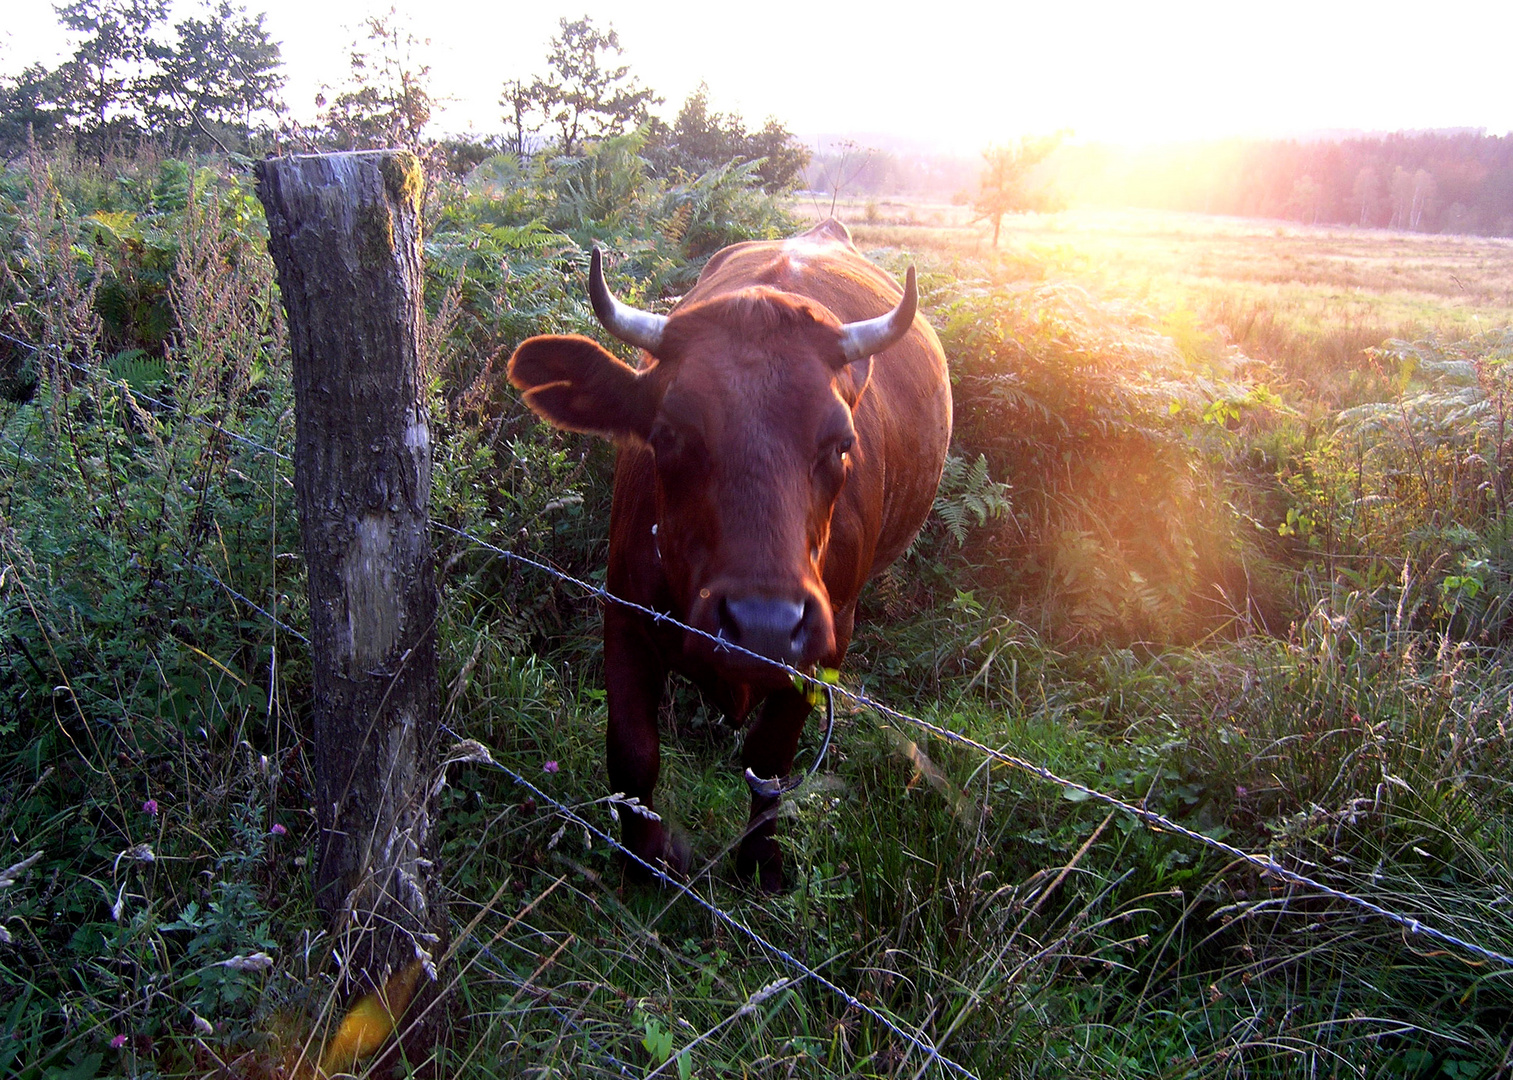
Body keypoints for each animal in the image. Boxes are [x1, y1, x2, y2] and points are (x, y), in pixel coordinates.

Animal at [514, 216, 950, 883]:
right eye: (668, 434)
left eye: (842, 442)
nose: (762, 626)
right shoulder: (622, 612)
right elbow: (632, 753)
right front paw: (644, 865)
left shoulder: (824, 641)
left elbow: (770, 760)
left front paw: (758, 861)